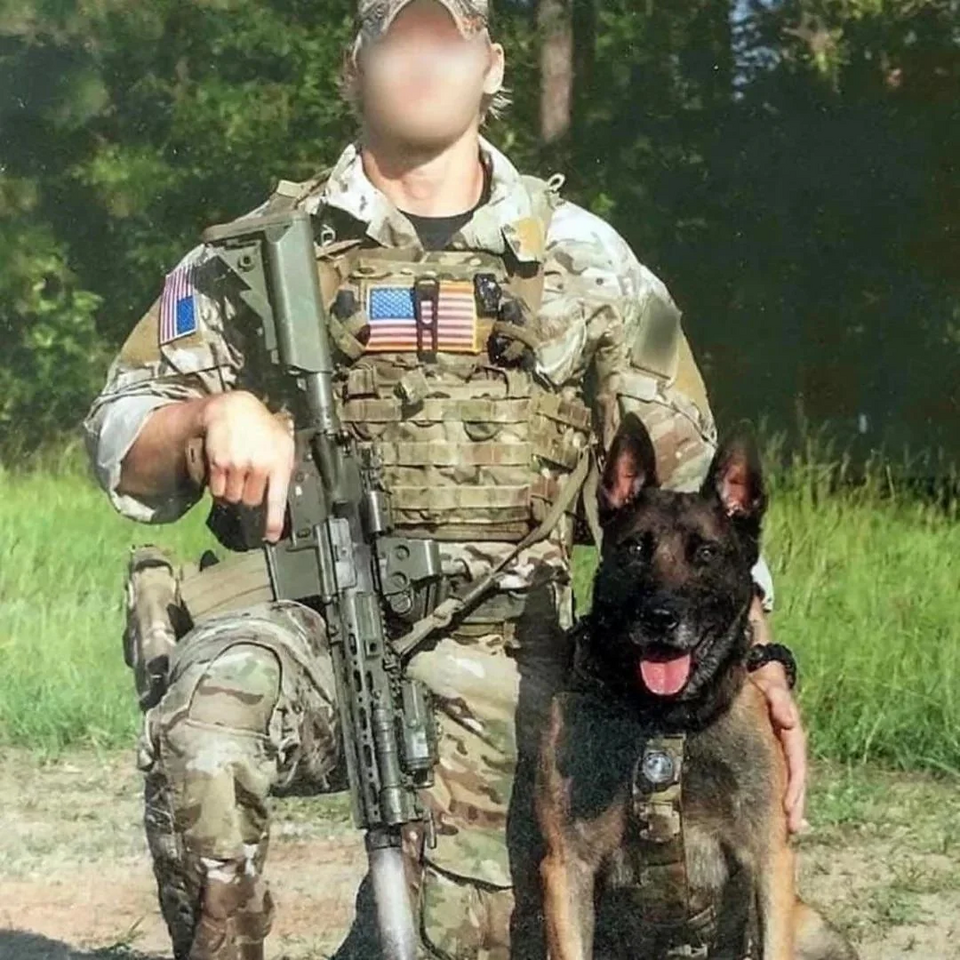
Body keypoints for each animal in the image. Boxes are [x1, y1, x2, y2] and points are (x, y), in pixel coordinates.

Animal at [535, 413, 857, 959]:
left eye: (706, 552)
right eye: (635, 548)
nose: (661, 618)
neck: (663, 721)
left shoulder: (769, 858)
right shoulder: (566, 866)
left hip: (815, 930)